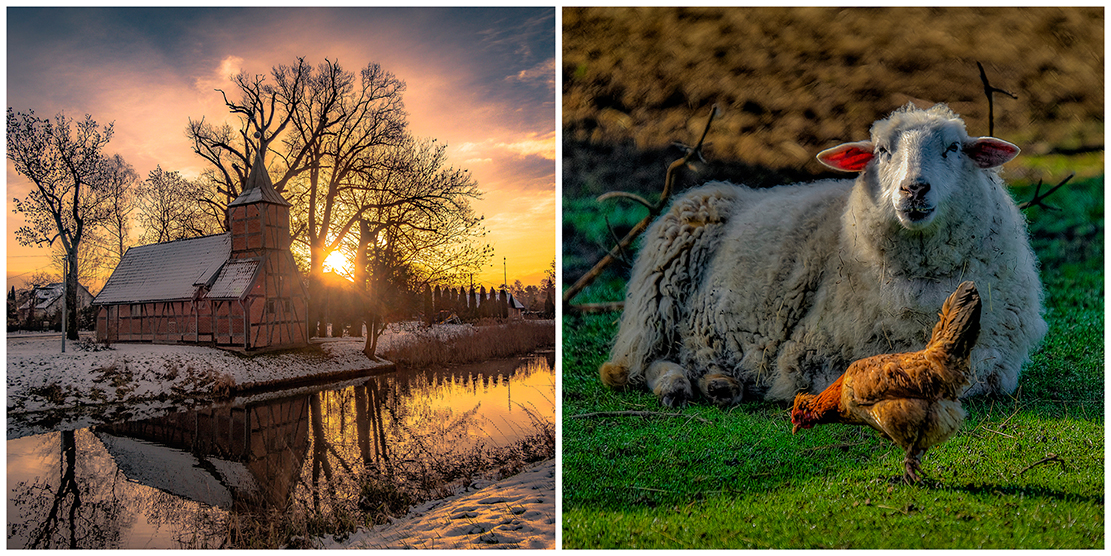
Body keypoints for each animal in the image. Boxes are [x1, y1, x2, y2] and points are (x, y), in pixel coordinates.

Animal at [599, 104, 1039, 406]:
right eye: (882, 150)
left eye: (953, 147)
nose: (913, 189)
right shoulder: (808, 355)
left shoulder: (996, 359)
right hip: (658, 293)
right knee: (637, 364)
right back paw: (677, 384)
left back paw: (719, 384)